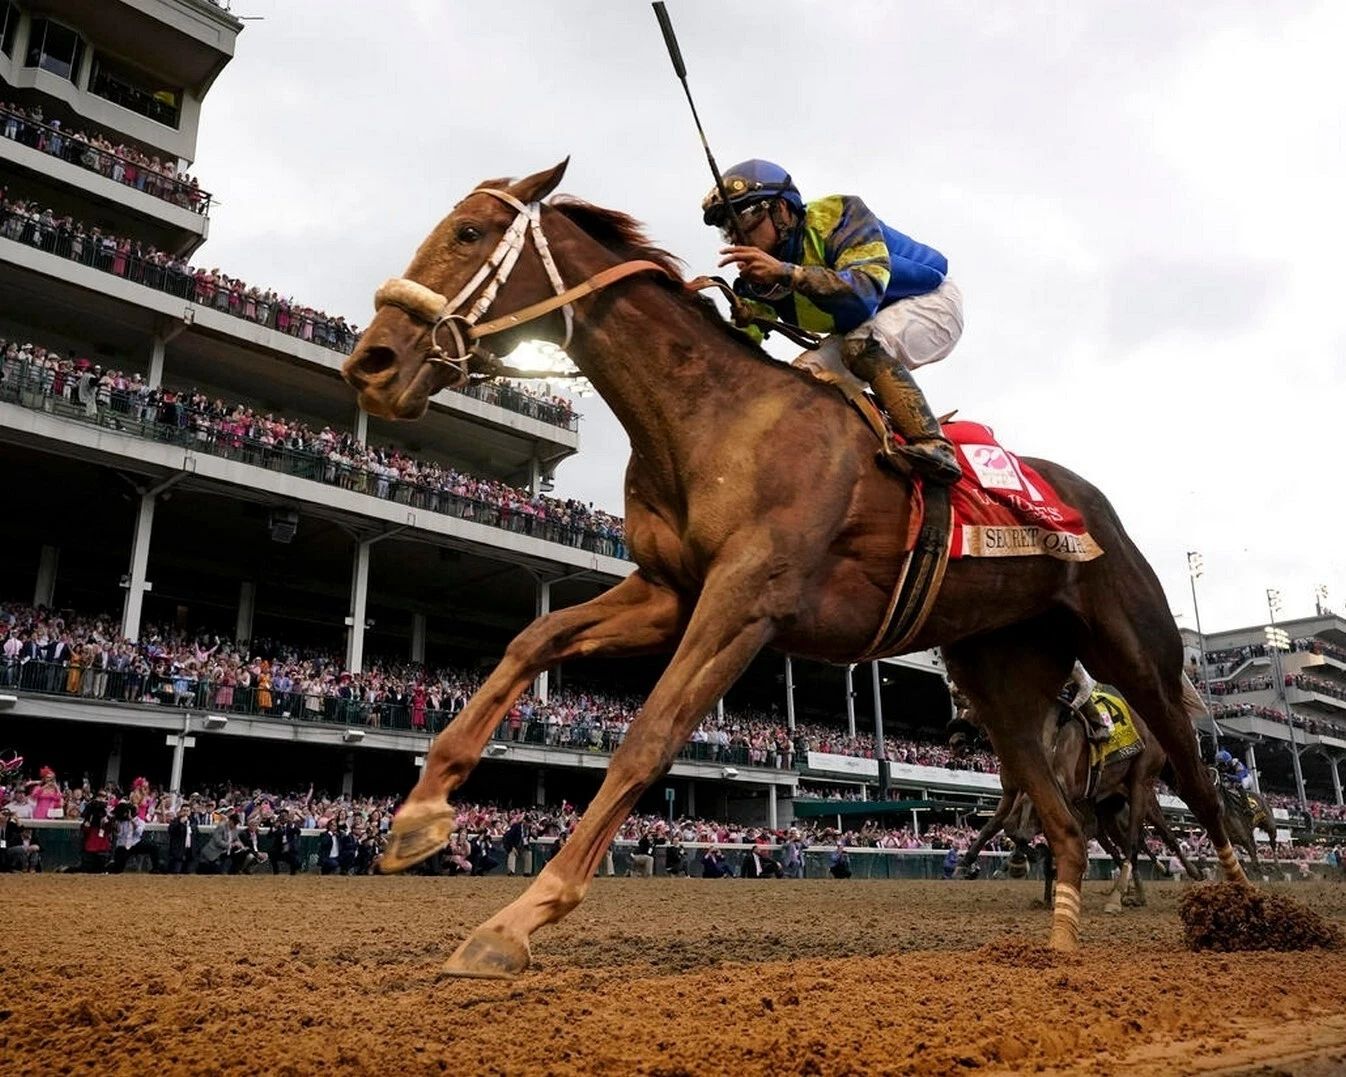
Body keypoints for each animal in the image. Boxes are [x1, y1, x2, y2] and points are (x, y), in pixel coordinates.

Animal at [341, 161, 1249, 977]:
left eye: (467, 233)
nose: (371, 361)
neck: (715, 416)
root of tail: (1094, 505)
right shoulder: (670, 592)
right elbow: (532, 639)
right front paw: (420, 815)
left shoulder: (745, 603)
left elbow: (649, 735)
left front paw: (520, 915)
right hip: (999, 681)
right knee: (1062, 821)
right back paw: (1059, 948)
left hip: (1138, 656)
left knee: (1196, 790)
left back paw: (1240, 910)